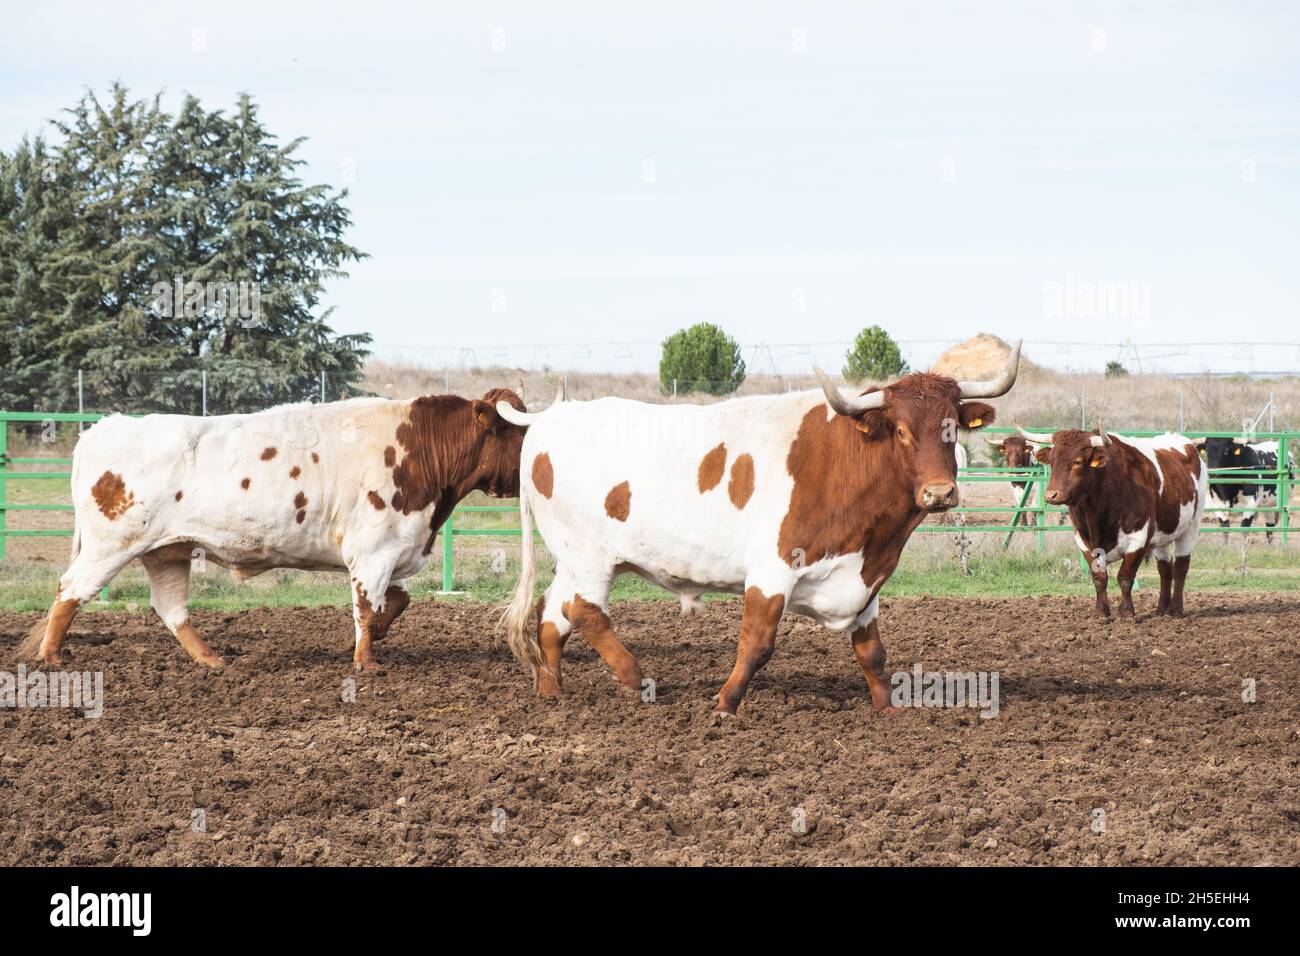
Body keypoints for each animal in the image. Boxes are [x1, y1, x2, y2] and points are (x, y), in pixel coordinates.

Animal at [20, 390, 527, 671]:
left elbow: (397, 602)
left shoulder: (393, 551)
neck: (420, 446)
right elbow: (367, 608)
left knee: (170, 608)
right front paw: (366, 662)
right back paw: (51, 656)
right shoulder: (373, 552)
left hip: (168, 550)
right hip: (112, 545)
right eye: (520, 431)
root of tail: (107, 428)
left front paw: (377, 636)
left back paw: (212, 660)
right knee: (70, 592)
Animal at [1013, 426, 1206, 621]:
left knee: (1181, 566)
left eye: (1077, 461)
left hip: (1191, 526)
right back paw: (1161, 610)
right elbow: (1099, 578)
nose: (1051, 495)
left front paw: (1127, 612)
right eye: (1052, 461)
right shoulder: (1083, 540)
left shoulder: (1138, 539)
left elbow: (1125, 577)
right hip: (1163, 533)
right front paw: (1101, 612)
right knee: (1165, 567)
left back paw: (1175, 610)